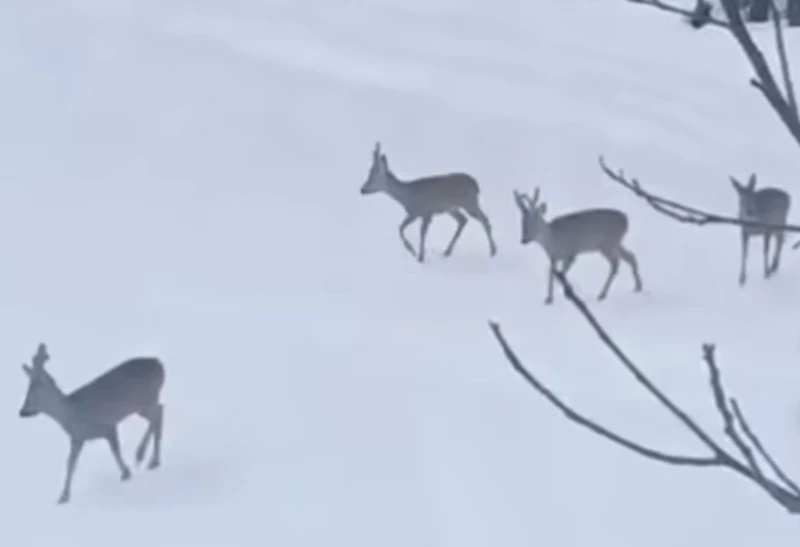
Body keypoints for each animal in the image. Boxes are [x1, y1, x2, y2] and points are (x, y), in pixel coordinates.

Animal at [19, 342, 166, 506]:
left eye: (35, 390)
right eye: (28, 389)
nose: (22, 411)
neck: (73, 414)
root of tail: (159, 363)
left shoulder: (108, 425)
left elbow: (115, 450)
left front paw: (126, 472)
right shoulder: (77, 438)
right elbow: (70, 463)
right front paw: (63, 496)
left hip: (145, 400)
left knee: (158, 414)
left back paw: (142, 455)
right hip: (144, 405)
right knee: (160, 411)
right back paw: (151, 460)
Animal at [360, 140, 496, 262]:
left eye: (372, 176)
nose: (362, 189)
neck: (406, 196)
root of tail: (475, 184)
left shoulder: (426, 212)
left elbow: (421, 233)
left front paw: (419, 256)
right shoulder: (414, 213)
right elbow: (401, 228)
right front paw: (413, 251)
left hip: (469, 202)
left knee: (484, 219)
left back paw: (493, 250)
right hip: (452, 208)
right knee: (463, 220)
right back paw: (447, 251)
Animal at [512, 188, 644, 306]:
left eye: (535, 219)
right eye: (522, 222)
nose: (524, 240)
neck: (552, 240)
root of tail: (626, 219)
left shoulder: (570, 253)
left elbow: (562, 274)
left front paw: (566, 292)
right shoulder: (553, 257)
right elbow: (551, 273)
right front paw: (549, 298)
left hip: (607, 244)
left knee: (616, 264)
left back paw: (602, 294)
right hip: (615, 243)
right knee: (631, 257)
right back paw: (638, 287)